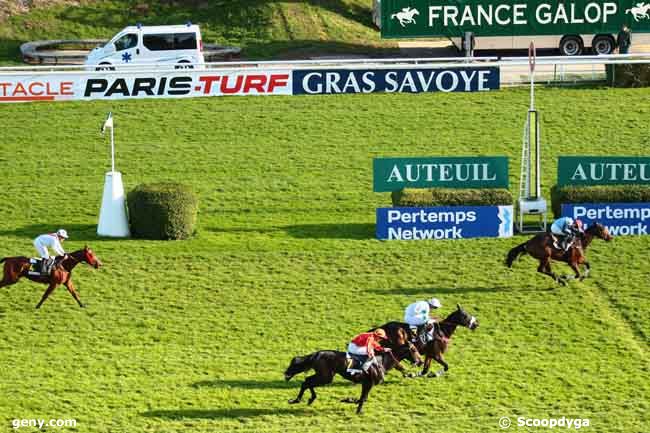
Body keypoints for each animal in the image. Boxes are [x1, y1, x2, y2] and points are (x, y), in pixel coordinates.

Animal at [284, 328, 420, 412]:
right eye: (414, 350)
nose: (420, 361)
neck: (382, 362)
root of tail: (317, 353)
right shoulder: (368, 383)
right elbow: (362, 398)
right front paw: (353, 404)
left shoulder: (367, 384)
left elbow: (363, 398)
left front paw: (351, 402)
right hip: (325, 376)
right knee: (307, 382)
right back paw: (298, 400)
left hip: (325, 375)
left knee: (307, 381)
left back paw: (307, 399)